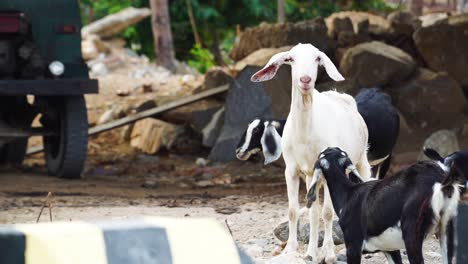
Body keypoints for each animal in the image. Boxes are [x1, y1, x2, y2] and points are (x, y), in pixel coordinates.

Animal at [250, 43, 372, 262]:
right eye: (290, 59)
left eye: (317, 59)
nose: (305, 80)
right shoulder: (291, 169)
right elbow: (293, 210)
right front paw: (292, 250)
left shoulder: (334, 169)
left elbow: (329, 212)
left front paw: (330, 255)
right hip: (311, 176)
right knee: (313, 210)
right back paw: (312, 252)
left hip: (361, 160)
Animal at [308, 147, 468, 262]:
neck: (348, 194)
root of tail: (441, 179)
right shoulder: (391, 250)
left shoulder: (353, 246)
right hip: (446, 229)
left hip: (411, 235)